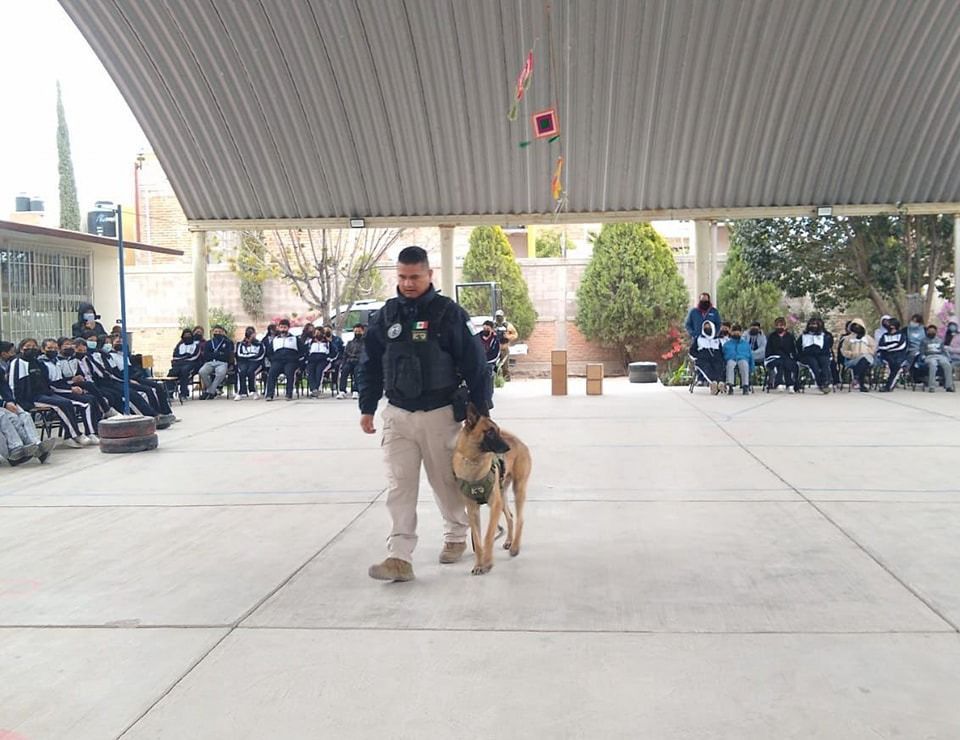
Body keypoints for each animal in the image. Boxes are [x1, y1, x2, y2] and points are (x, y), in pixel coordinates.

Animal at [452, 404, 532, 572]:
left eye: (498, 431)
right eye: (489, 432)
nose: (508, 448)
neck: (473, 462)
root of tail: (518, 441)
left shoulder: (494, 506)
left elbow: (488, 535)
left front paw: (487, 562)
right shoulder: (472, 511)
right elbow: (477, 539)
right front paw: (479, 564)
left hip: (518, 489)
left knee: (520, 518)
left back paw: (515, 547)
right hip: (502, 494)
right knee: (510, 516)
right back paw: (509, 541)